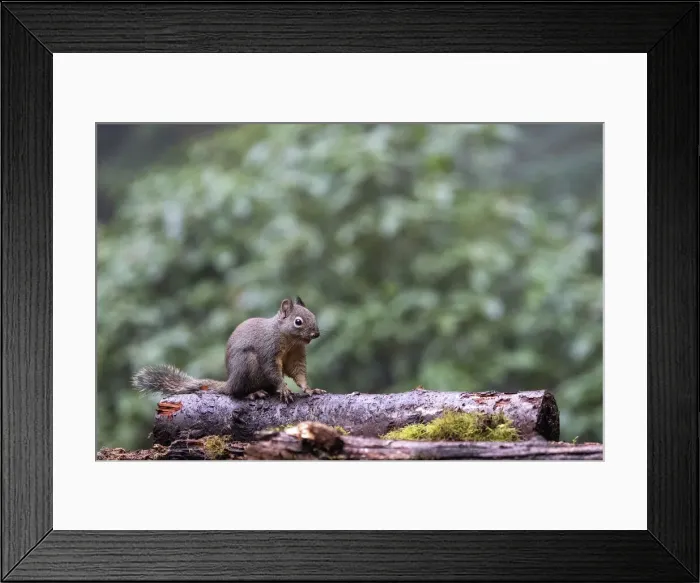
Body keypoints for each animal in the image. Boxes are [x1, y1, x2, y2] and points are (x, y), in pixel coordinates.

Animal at [132, 296, 326, 403]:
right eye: (298, 322)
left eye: (313, 315)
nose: (316, 334)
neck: (289, 340)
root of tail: (229, 382)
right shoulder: (267, 349)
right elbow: (272, 370)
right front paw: (284, 389)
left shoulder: (296, 354)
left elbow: (298, 372)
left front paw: (310, 389)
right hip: (246, 363)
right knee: (236, 393)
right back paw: (252, 394)